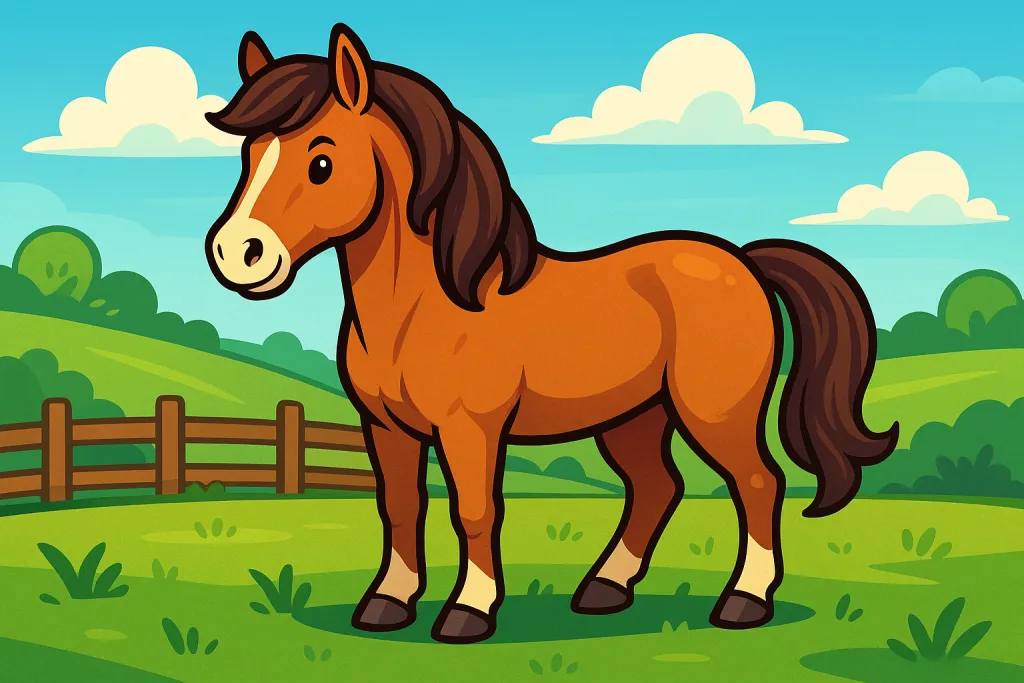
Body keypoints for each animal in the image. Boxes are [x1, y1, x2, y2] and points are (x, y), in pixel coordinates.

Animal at [205, 23, 898, 644]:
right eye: (247, 156)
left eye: (322, 161)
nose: (239, 254)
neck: (428, 305)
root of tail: (744, 262)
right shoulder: (386, 427)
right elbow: (400, 507)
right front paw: (386, 603)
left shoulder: (470, 429)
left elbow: (475, 511)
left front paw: (468, 613)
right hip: (634, 417)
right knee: (657, 488)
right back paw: (604, 590)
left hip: (715, 414)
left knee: (758, 484)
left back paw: (744, 602)